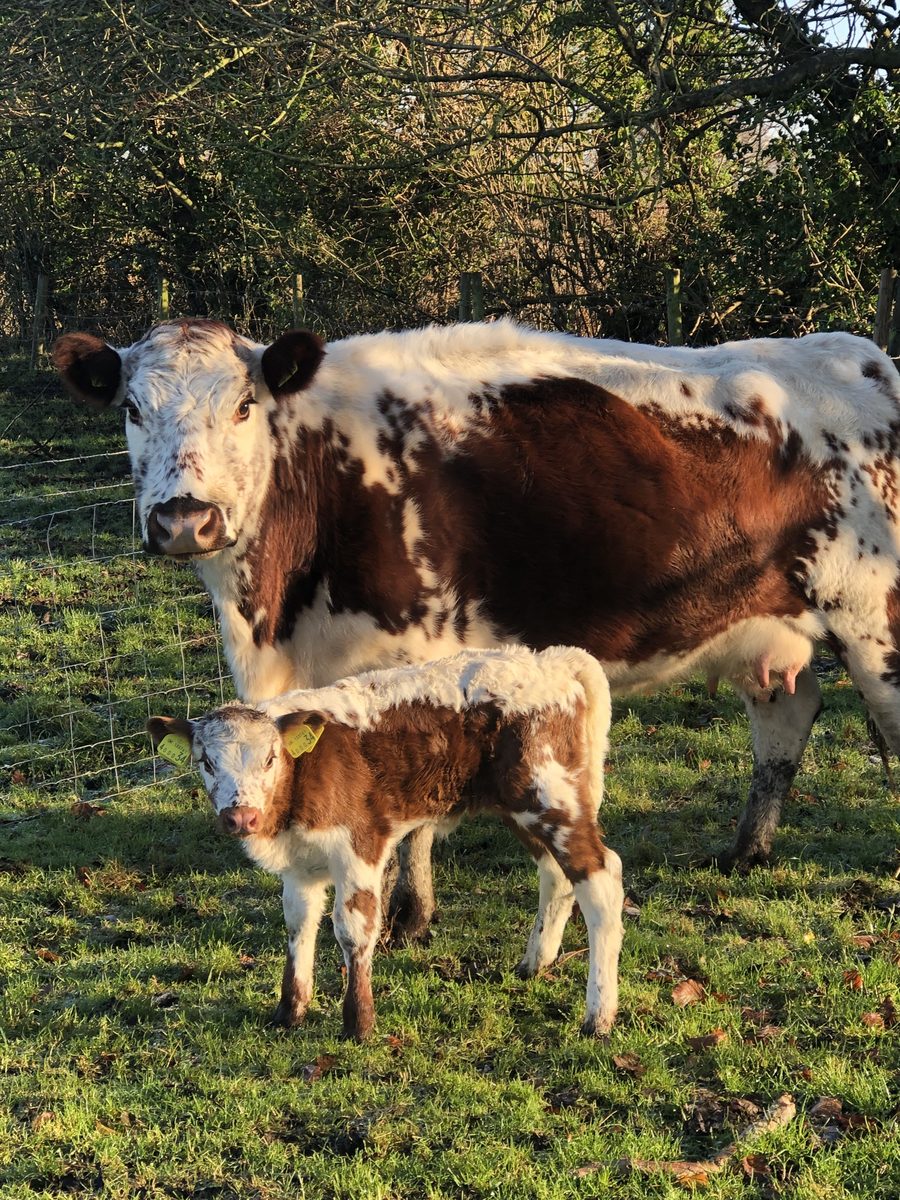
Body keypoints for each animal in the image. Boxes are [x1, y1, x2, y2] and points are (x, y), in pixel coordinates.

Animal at [54, 317, 900, 938]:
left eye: (242, 406)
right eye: (132, 409)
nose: (183, 518)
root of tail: (856, 354)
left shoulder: (417, 655)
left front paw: (408, 916)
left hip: (874, 619)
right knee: (787, 717)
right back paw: (747, 849)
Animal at [147, 645, 623, 1039]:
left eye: (269, 758)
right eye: (206, 762)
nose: (240, 816)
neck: (301, 778)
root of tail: (554, 660)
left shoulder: (359, 847)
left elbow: (352, 929)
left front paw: (358, 1024)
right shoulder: (300, 865)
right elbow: (299, 924)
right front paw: (289, 1012)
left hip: (551, 798)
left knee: (601, 881)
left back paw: (598, 1018)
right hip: (523, 806)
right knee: (556, 875)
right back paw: (534, 963)